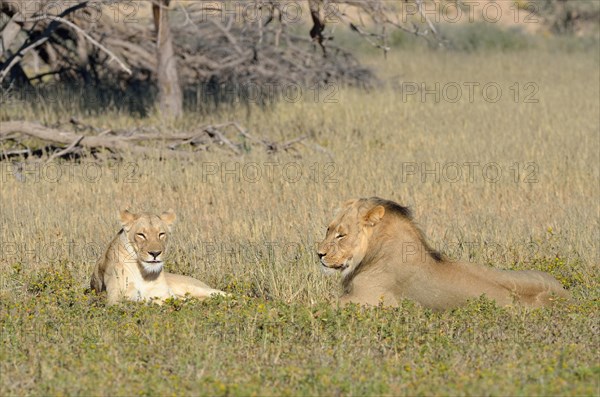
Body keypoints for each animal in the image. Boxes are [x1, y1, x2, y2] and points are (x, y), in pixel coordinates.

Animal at [91, 210, 225, 304]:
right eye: (141, 234)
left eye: (161, 234)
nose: (155, 253)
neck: (143, 273)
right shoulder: (115, 298)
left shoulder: (163, 294)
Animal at [316, 198, 568, 310]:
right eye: (328, 229)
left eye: (341, 235)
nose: (319, 254)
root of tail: (568, 300)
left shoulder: (369, 299)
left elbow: (322, 304)